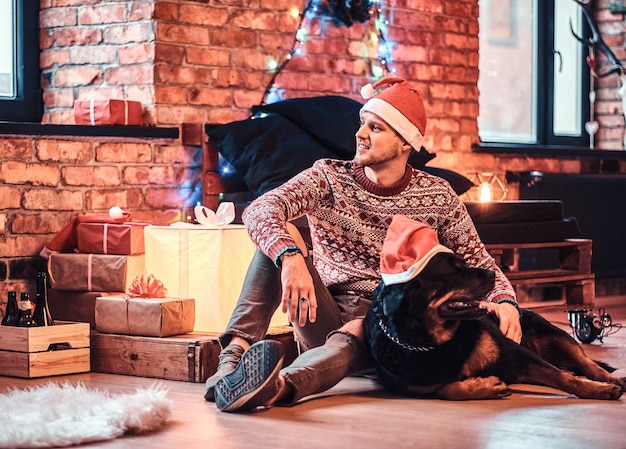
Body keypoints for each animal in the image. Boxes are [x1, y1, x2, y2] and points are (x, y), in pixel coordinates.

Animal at [360, 250, 624, 400]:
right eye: (455, 271)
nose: (493, 274)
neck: (435, 342)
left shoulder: (517, 352)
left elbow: (564, 379)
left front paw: (597, 390)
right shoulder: (415, 385)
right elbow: (447, 389)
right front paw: (487, 386)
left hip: (556, 336)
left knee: (586, 363)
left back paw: (608, 380)